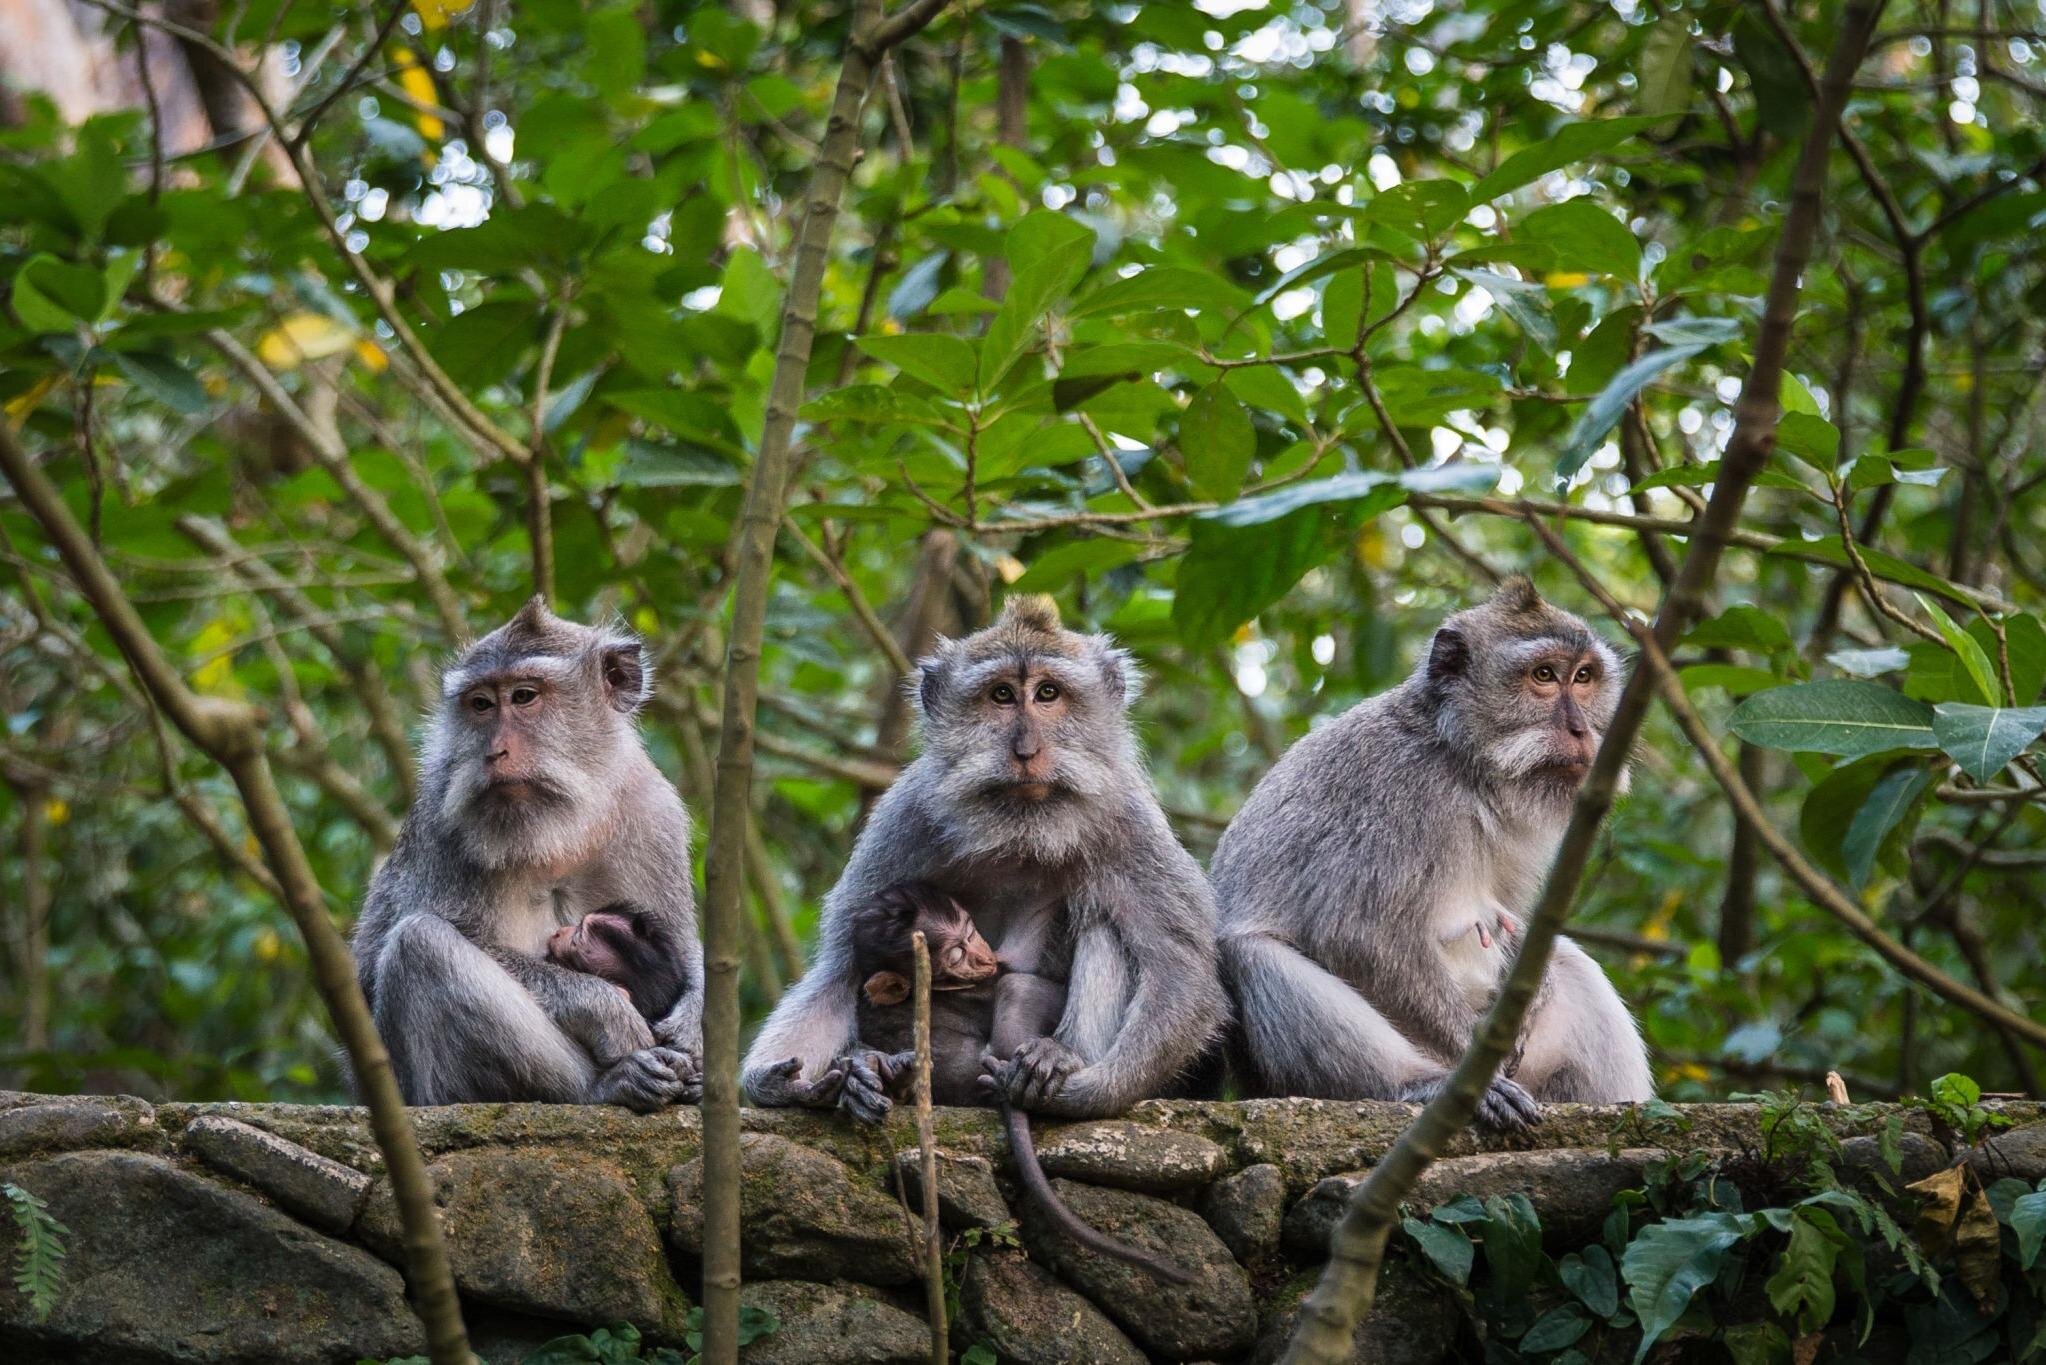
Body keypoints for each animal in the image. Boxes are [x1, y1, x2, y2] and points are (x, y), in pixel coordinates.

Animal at [740, 594, 1228, 1130]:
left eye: (1048, 693)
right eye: (1001, 696)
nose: (1026, 750)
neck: (1021, 830)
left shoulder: (1127, 822)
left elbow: (1181, 972)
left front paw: (1089, 1092)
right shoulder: (907, 818)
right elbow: (842, 966)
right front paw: (782, 1084)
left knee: (1102, 920)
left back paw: (1058, 1059)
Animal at [1210, 576, 1653, 1131]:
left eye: (1585, 676)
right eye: (1544, 676)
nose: (1582, 731)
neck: (1461, 761)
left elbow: (1524, 930)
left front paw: (1534, 991)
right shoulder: (1396, 790)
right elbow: (1357, 934)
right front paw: (1471, 1064)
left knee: (1574, 963)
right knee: (1254, 955)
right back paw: (1424, 1085)